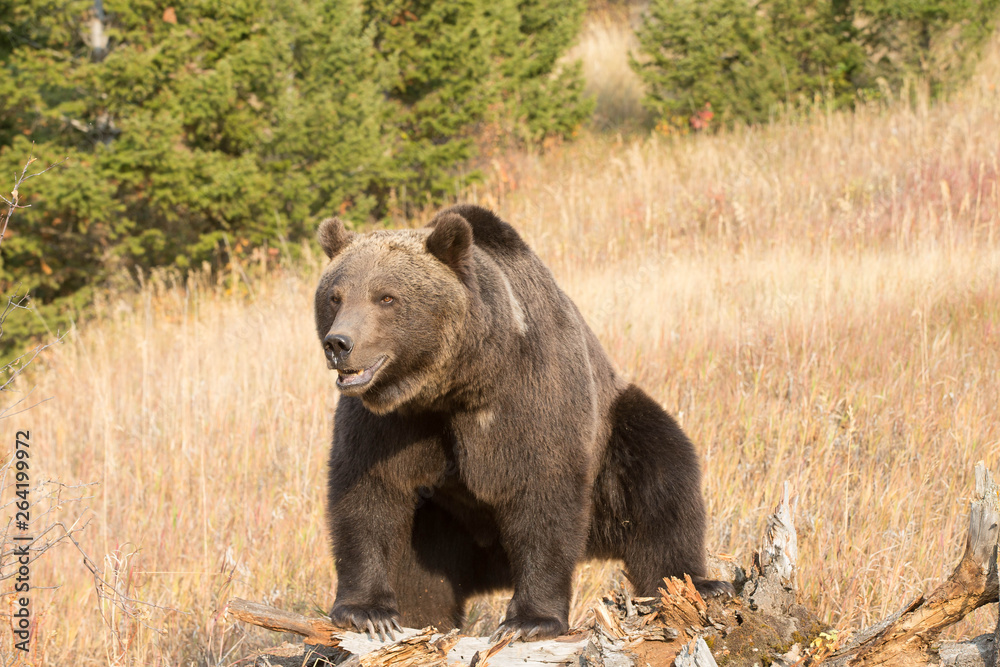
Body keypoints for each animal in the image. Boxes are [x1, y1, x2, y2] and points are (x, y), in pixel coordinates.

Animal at [316, 204, 732, 640]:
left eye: (387, 297)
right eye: (335, 296)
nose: (339, 344)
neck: (456, 385)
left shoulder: (528, 397)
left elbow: (542, 492)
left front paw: (531, 620)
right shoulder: (390, 423)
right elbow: (369, 491)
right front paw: (368, 612)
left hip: (613, 443)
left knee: (662, 475)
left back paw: (701, 583)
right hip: (441, 528)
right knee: (424, 577)